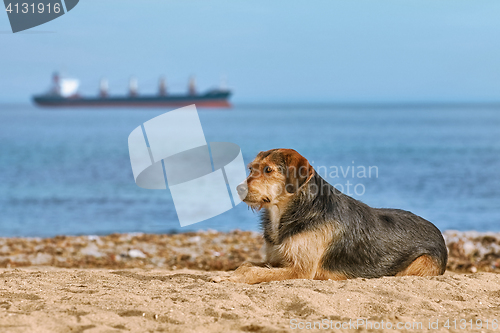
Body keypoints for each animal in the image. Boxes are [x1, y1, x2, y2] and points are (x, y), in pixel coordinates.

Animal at [225, 148, 448, 282]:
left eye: (268, 170)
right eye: (251, 169)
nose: (238, 189)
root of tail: (439, 233)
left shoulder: (300, 271)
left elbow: (254, 270)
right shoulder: (276, 261)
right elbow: (246, 264)